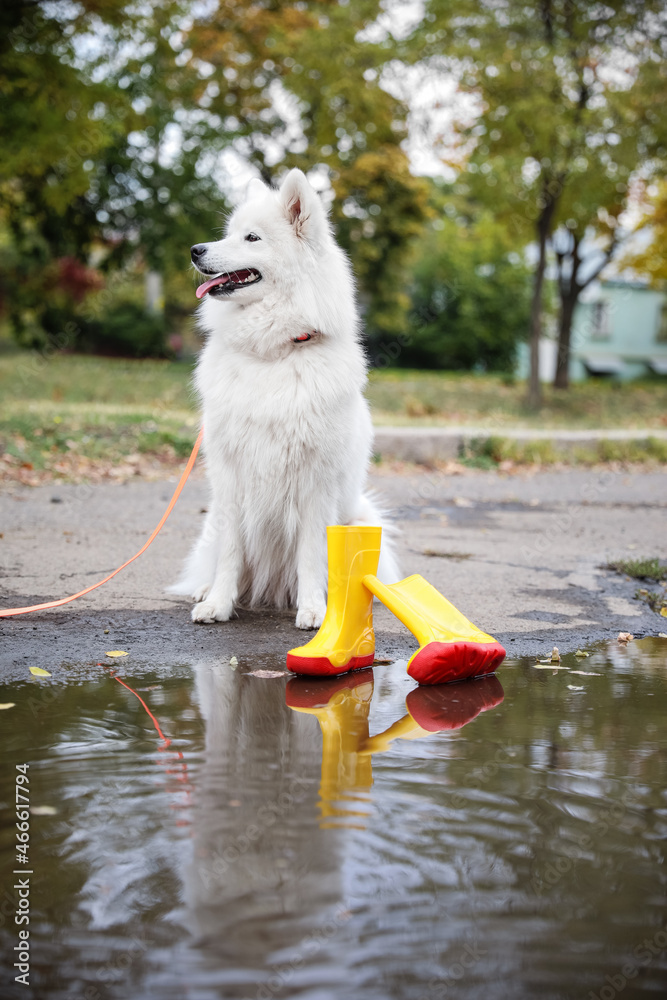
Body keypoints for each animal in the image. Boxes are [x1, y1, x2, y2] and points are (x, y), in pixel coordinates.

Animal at [171, 168, 396, 628]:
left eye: (252, 238)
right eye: (229, 234)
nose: (195, 250)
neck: (273, 352)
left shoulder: (315, 482)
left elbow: (311, 554)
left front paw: (313, 610)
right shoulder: (231, 476)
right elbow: (231, 553)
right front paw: (218, 603)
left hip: (360, 518)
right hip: (212, 521)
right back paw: (204, 589)